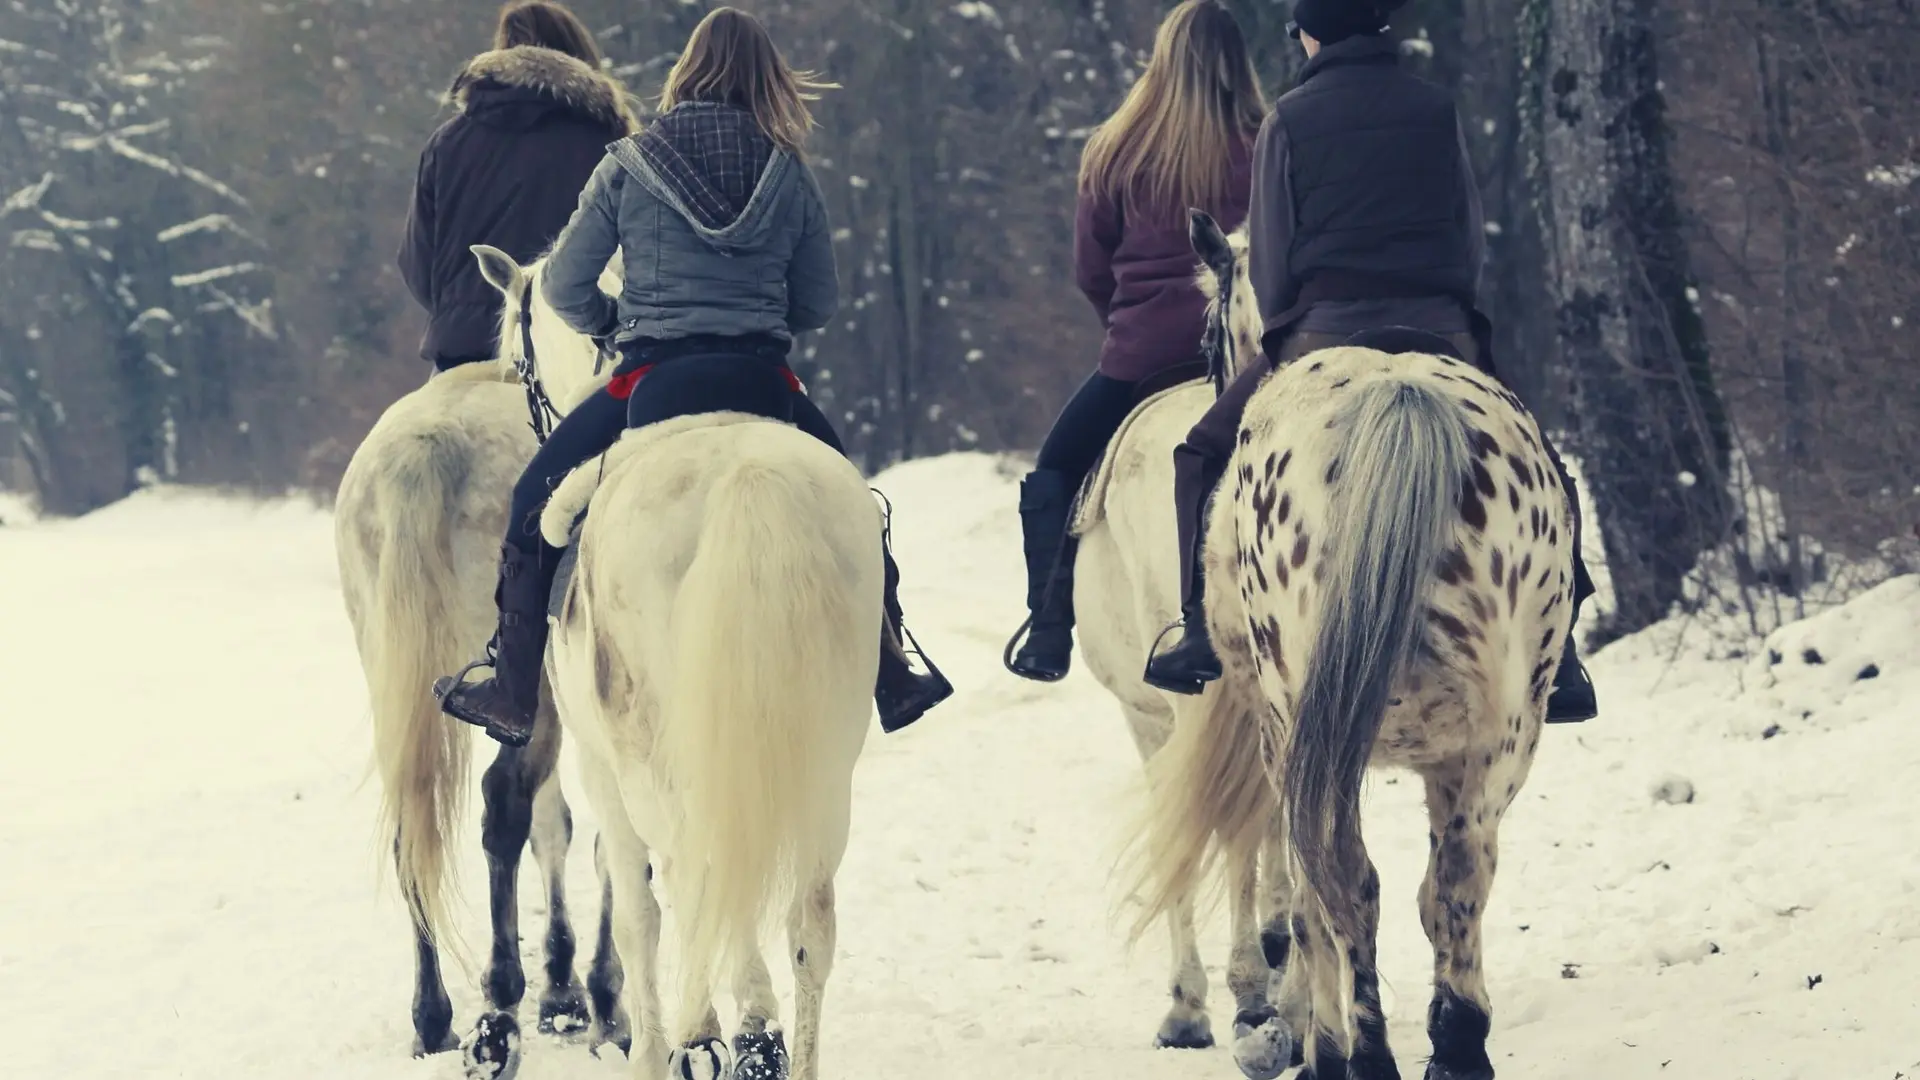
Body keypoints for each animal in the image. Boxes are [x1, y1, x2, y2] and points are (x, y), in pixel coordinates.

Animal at [332, 255, 626, 1070]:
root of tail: (422, 449)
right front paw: (586, 989)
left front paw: (565, 987)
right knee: (507, 808)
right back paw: (504, 1002)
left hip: (395, 675)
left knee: (414, 818)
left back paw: (435, 1016)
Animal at [468, 243, 881, 1080]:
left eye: (519, 361)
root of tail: (750, 477)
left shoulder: (603, 765)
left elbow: (636, 909)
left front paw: (671, 1040)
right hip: (828, 760)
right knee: (807, 920)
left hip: (651, 757)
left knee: (697, 872)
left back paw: (722, 1034)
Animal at [1123, 210, 1576, 1080]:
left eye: (1207, 338)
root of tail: (1399, 393)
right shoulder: (1446, 758)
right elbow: (1434, 895)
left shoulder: (1284, 740)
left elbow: (1302, 900)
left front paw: (1305, 1036)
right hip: (1506, 729)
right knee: (1456, 877)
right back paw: (1457, 1047)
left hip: (1313, 726)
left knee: (1342, 883)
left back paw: (1356, 1052)